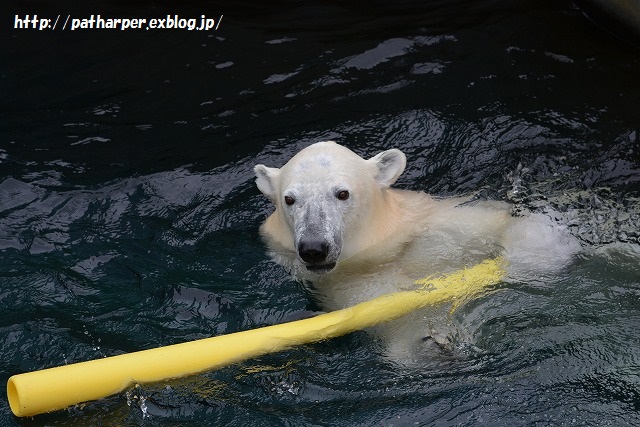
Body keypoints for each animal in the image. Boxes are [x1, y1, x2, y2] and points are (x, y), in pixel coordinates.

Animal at [254, 142, 580, 362]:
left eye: (342, 193)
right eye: (290, 199)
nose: (314, 248)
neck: (375, 249)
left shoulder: (429, 221)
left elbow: (491, 221)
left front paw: (538, 247)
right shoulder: (342, 286)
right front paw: (434, 341)